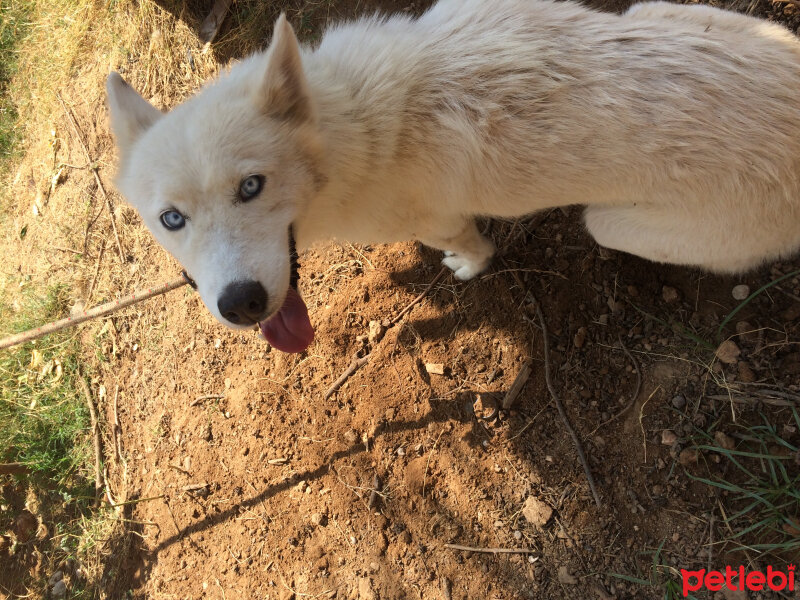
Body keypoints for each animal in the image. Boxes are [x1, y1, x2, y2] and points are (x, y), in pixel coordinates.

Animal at [109, 0, 800, 354]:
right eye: (172, 219)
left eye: (252, 186)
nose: (241, 305)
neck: (354, 124)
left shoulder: (439, 220)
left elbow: (470, 247)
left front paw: (467, 267)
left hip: (607, 223)